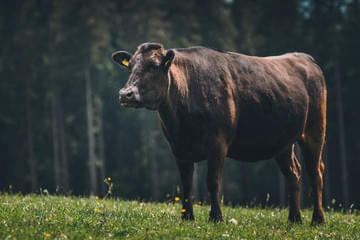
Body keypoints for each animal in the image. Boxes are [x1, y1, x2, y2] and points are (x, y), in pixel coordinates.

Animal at [112, 41, 326, 225]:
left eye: (154, 66)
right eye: (130, 67)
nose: (125, 94)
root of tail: (304, 57)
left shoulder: (218, 143)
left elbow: (213, 181)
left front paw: (216, 217)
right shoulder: (178, 148)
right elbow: (187, 183)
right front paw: (187, 217)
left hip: (314, 131)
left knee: (315, 173)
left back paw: (318, 219)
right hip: (283, 143)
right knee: (293, 174)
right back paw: (294, 218)